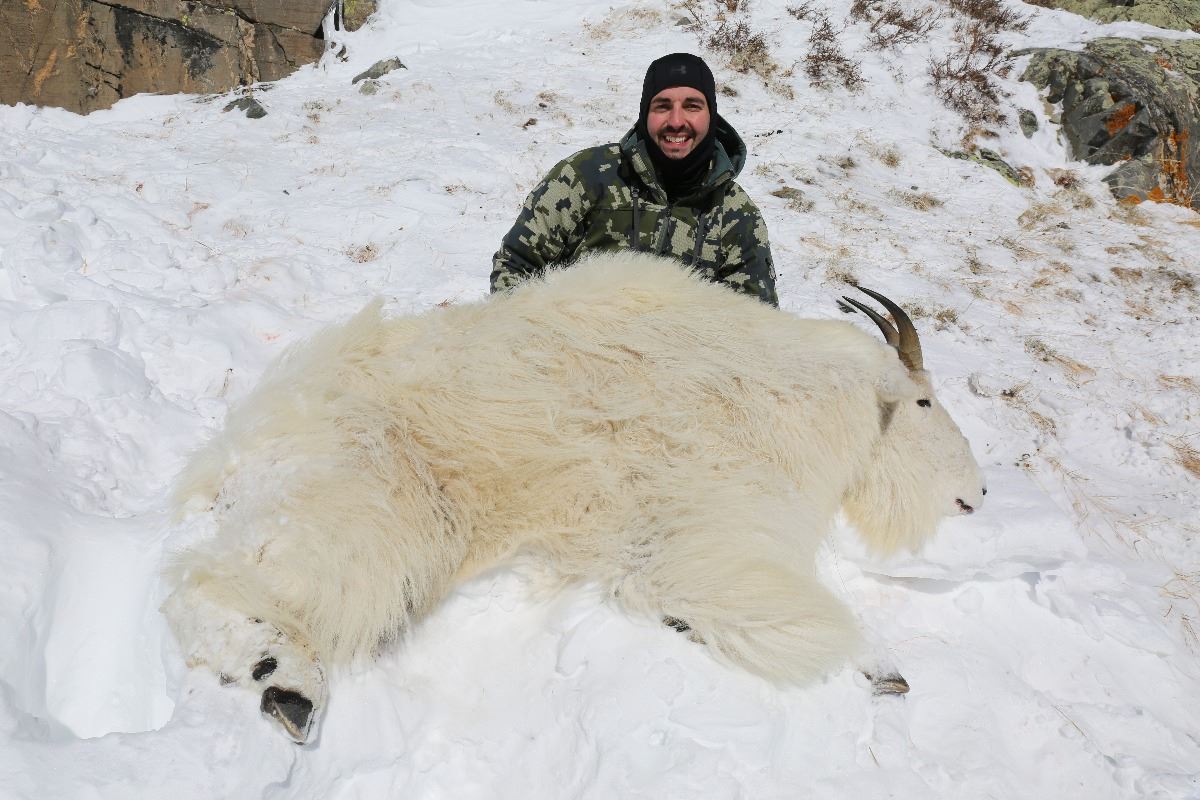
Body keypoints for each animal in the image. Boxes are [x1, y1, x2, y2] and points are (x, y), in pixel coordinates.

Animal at [163, 251, 985, 743]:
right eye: (923, 402)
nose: (976, 493)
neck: (801, 395)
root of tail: (239, 447)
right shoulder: (714, 533)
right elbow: (811, 623)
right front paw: (884, 670)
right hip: (378, 510)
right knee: (211, 590)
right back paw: (288, 687)